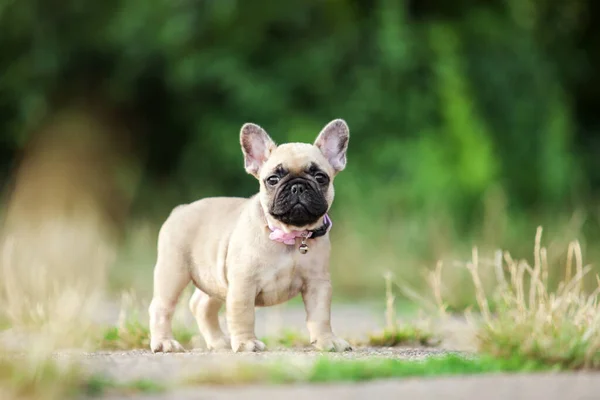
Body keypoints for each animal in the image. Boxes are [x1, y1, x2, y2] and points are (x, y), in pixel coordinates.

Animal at [149, 119, 352, 354]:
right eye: (272, 179)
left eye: (320, 177)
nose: (298, 186)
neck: (289, 235)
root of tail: (180, 209)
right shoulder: (243, 284)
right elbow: (243, 314)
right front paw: (247, 343)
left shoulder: (317, 284)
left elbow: (320, 316)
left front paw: (327, 341)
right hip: (173, 272)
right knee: (161, 307)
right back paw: (165, 342)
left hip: (214, 278)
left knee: (201, 306)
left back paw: (219, 342)